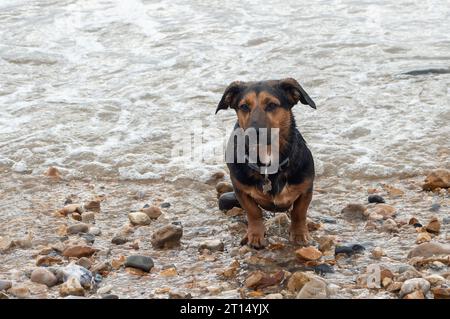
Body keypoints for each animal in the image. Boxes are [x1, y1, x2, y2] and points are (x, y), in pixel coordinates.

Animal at [215, 78, 314, 250]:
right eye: (244, 106)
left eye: (272, 105)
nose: (253, 134)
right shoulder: (240, 190)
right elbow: (253, 212)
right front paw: (255, 235)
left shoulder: (306, 188)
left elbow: (299, 212)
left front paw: (299, 234)